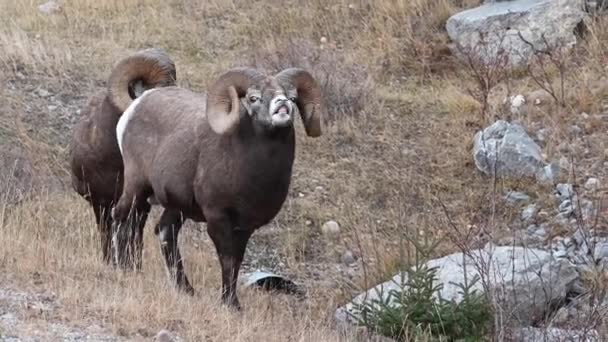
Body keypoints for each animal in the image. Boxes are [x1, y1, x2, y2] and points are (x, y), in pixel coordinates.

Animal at [112, 67, 326, 308]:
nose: (282, 105)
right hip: (136, 187)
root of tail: (136, 106)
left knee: (165, 233)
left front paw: (233, 304)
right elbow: (227, 260)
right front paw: (229, 304)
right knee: (120, 216)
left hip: (176, 207)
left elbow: (236, 262)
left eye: (293, 98)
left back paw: (186, 289)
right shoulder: (217, 218)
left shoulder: (244, 227)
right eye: (254, 98)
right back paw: (122, 267)